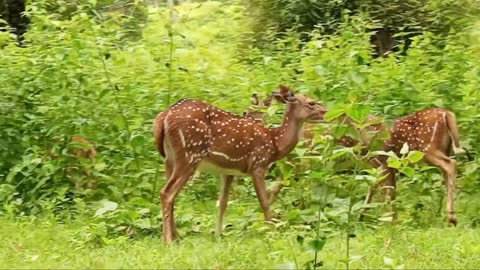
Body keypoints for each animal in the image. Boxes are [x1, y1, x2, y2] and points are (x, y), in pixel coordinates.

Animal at [154, 85, 326, 244]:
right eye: (311, 102)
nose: (325, 111)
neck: (275, 143)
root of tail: (164, 116)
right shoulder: (258, 164)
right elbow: (265, 201)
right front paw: (271, 232)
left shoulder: (228, 171)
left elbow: (222, 203)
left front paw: (218, 235)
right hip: (190, 155)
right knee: (167, 193)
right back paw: (168, 241)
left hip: (169, 158)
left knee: (171, 194)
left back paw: (176, 237)